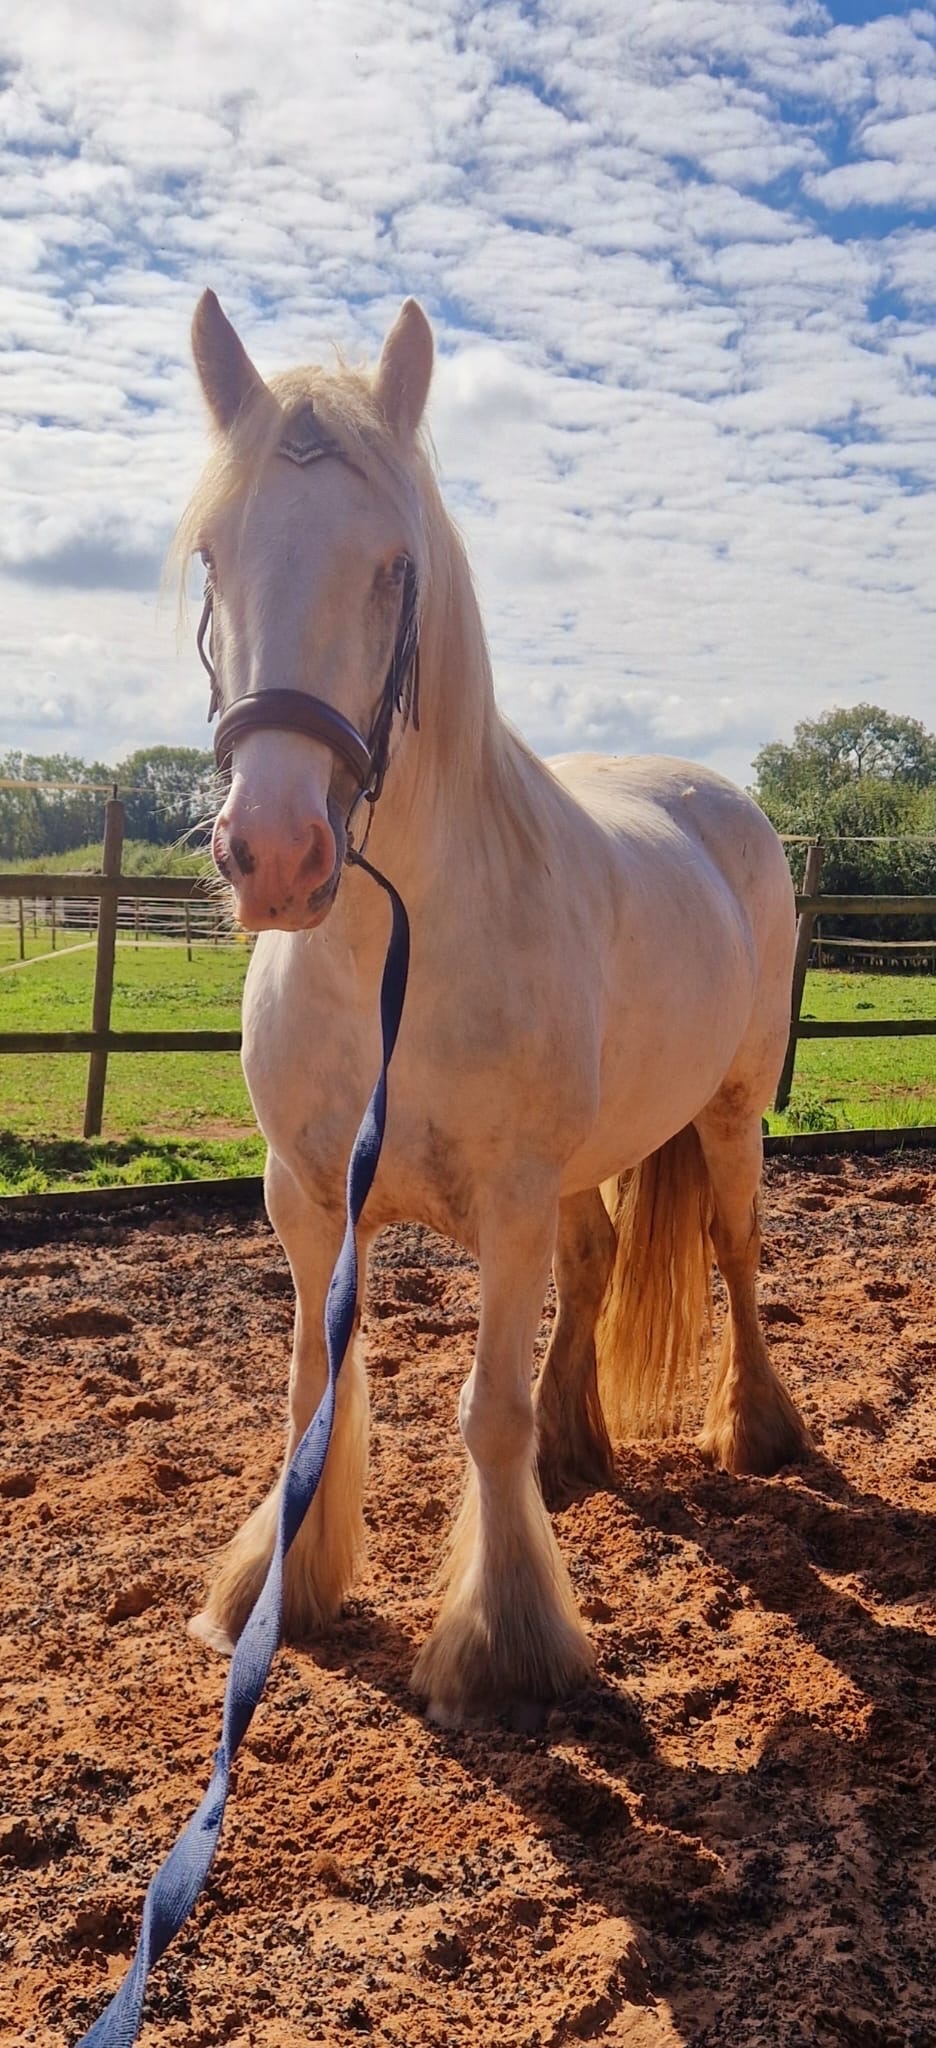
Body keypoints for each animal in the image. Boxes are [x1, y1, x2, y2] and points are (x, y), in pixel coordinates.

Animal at [178, 289, 810, 1728]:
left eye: (394, 566)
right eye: (212, 559)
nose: (277, 854)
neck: (385, 969)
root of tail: (723, 800)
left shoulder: (509, 1201)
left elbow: (483, 1414)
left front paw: (506, 1640)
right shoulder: (309, 1199)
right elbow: (316, 1391)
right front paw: (281, 1585)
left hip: (733, 1111)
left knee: (736, 1253)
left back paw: (758, 1430)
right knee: (598, 1262)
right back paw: (581, 1446)